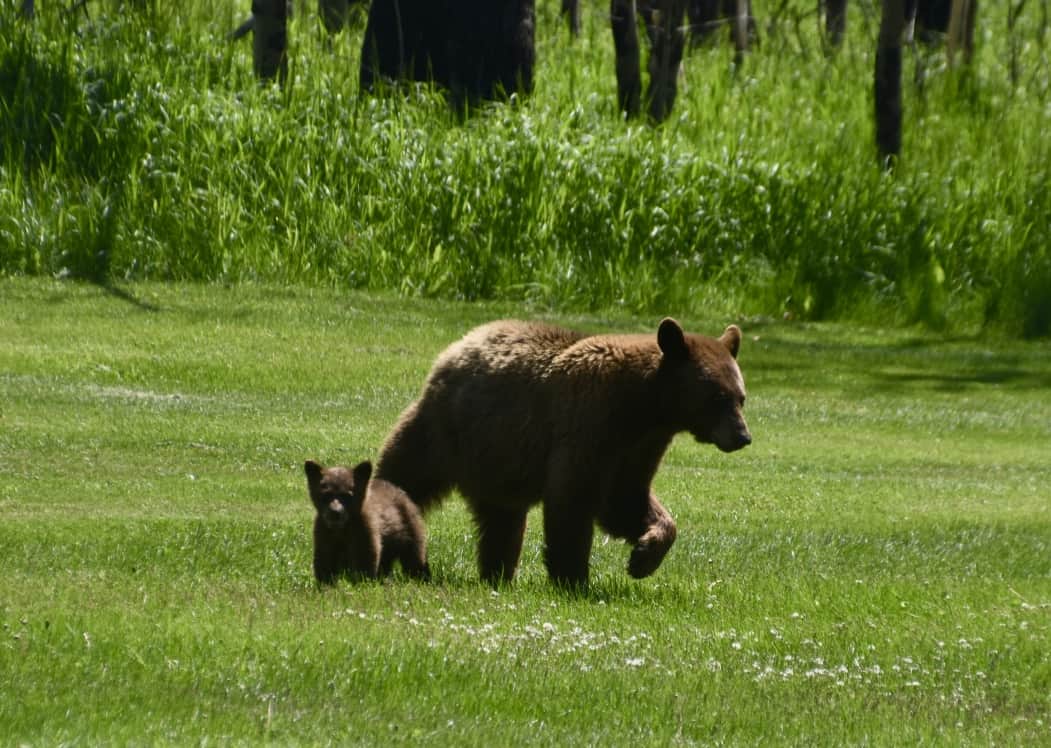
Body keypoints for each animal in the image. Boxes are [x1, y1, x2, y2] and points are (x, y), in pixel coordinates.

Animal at [374, 317, 751, 588]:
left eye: (741, 397)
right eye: (717, 397)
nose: (743, 436)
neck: (643, 407)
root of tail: (458, 346)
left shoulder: (639, 447)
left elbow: (627, 500)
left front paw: (643, 557)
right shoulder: (588, 424)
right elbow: (573, 498)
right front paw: (574, 577)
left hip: (499, 459)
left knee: (502, 518)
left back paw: (498, 573)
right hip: (446, 431)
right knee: (405, 475)